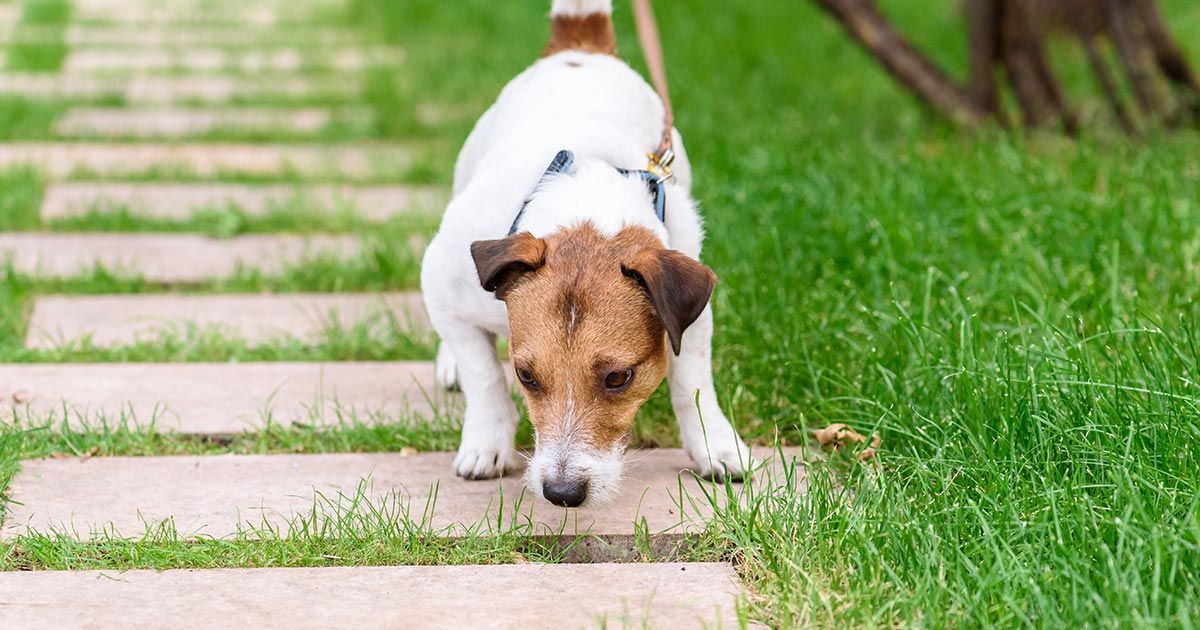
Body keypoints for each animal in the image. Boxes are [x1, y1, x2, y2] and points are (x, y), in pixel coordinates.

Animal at [417, 0, 744, 506]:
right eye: (526, 376)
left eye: (619, 378)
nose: (562, 492)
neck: (588, 204)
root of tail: (580, 42)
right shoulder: (439, 277)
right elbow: (483, 374)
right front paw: (487, 443)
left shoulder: (692, 306)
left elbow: (692, 381)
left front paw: (715, 445)